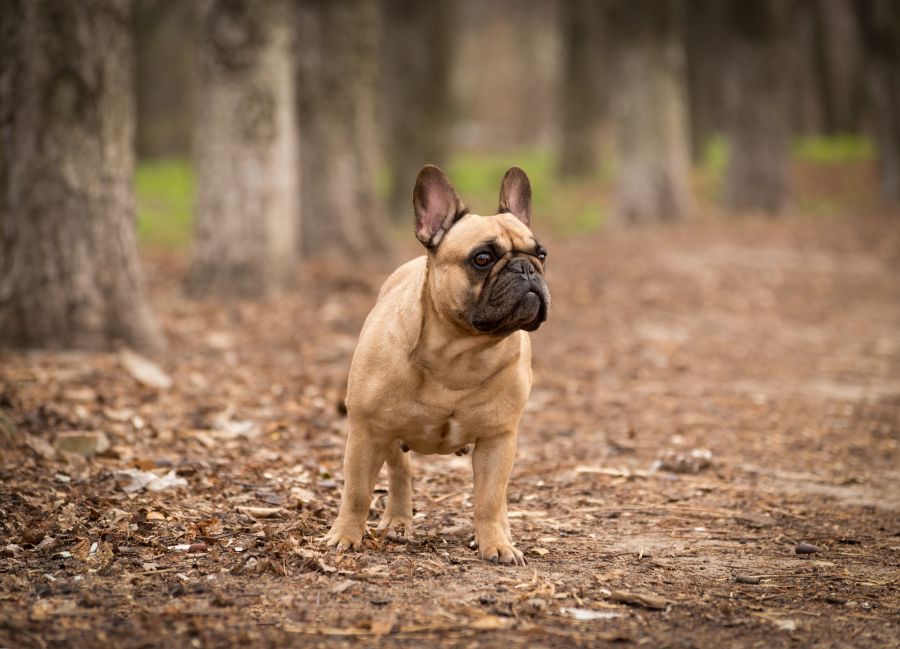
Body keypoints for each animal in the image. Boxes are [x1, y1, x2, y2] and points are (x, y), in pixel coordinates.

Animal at [324, 165, 548, 564]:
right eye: (482, 258)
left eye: (542, 254)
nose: (527, 268)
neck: (461, 351)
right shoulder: (366, 431)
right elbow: (357, 492)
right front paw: (345, 536)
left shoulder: (498, 437)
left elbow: (489, 499)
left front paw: (496, 543)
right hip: (388, 434)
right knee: (400, 474)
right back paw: (397, 521)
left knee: (498, 495)